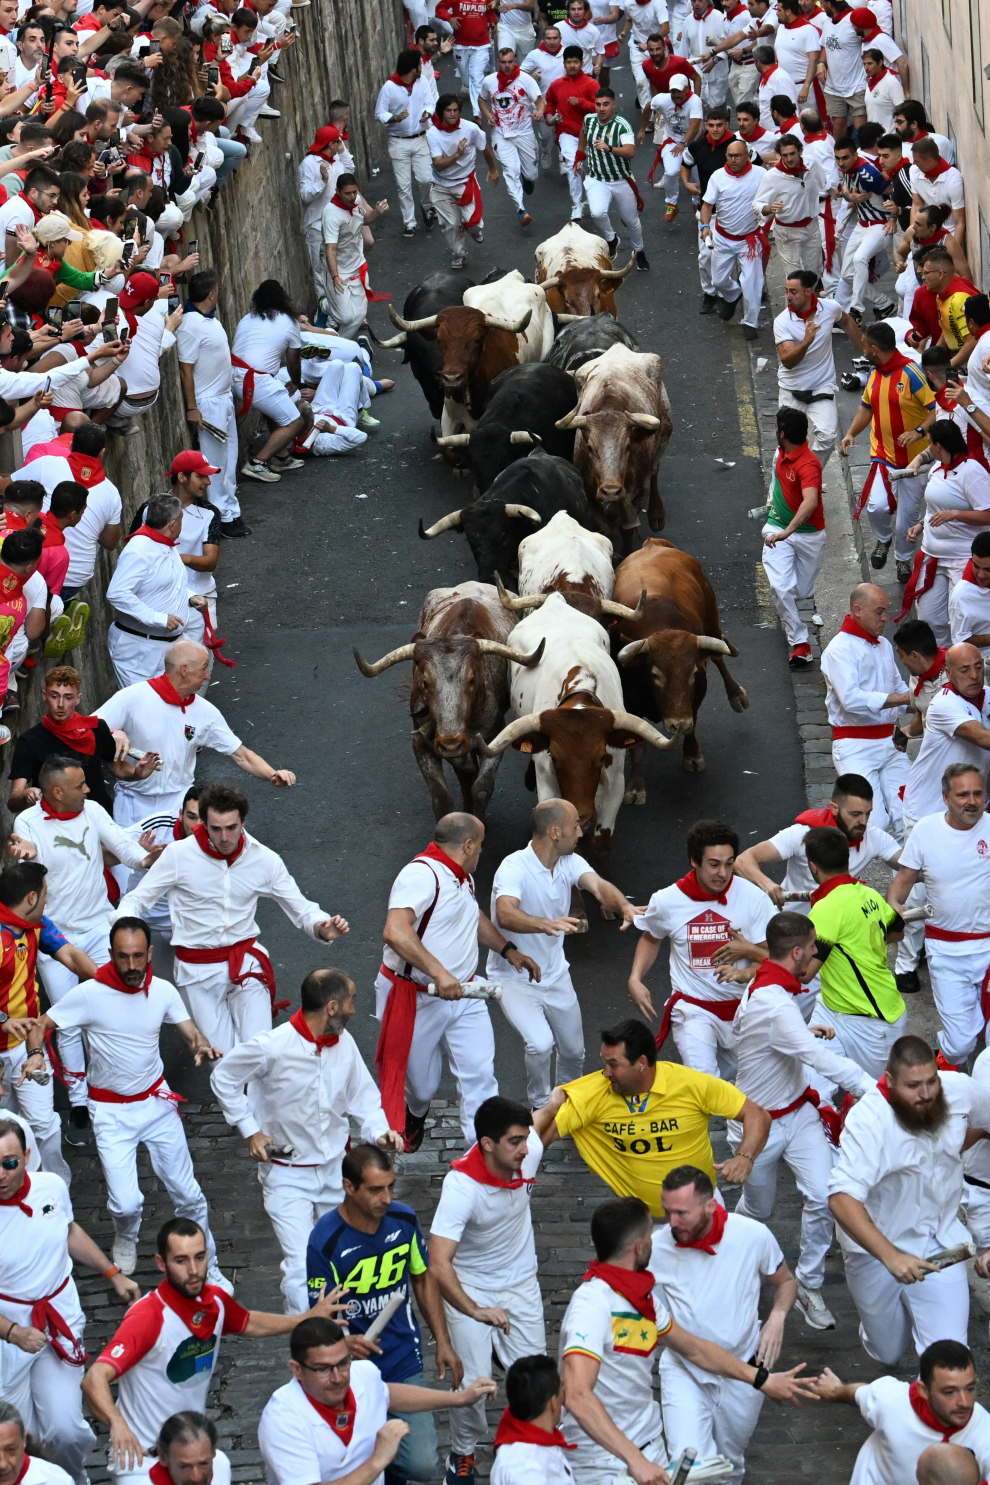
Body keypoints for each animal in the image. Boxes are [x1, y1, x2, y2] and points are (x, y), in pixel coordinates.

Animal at [354, 579, 543, 819]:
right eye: (425, 682)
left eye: (472, 680)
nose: (451, 743)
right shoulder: (422, 744)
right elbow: (442, 796)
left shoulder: (494, 738)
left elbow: (481, 788)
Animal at [611, 537, 751, 790]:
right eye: (655, 675)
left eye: (693, 673)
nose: (678, 724)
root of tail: (652, 544)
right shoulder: (630, 701)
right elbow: (638, 745)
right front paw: (635, 786)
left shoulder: (697, 692)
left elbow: (693, 721)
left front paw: (692, 756)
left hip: (712, 620)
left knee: (718, 657)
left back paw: (737, 695)